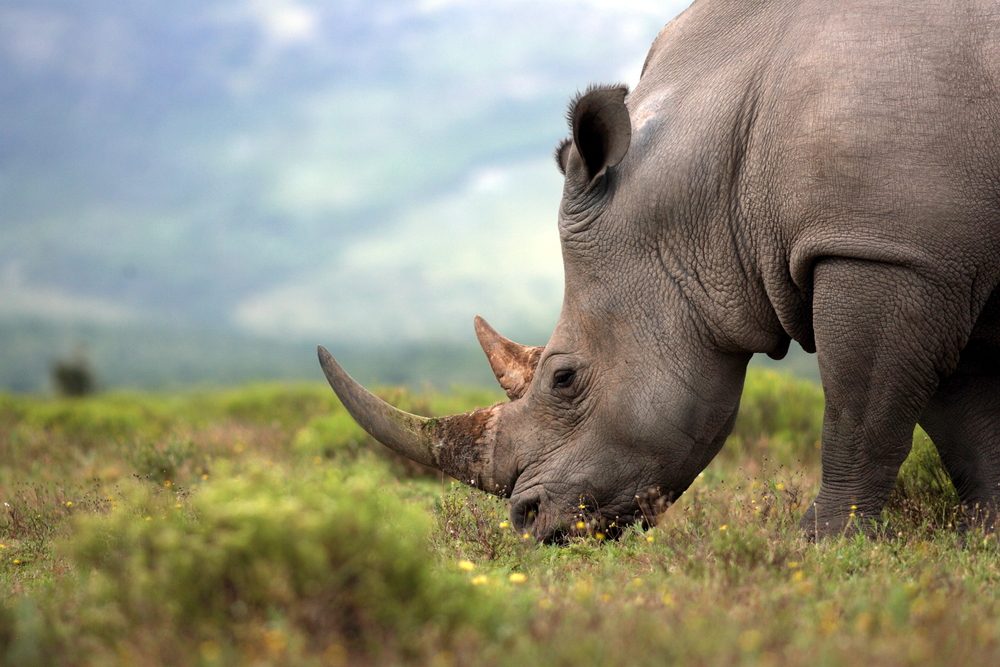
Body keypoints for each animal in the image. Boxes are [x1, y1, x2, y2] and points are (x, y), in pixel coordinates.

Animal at [319, 0, 1000, 540]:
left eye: (563, 379)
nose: (526, 520)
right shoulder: (933, 258)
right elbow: (965, 421)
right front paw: (982, 539)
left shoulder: (883, 249)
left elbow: (861, 414)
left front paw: (823, 547)